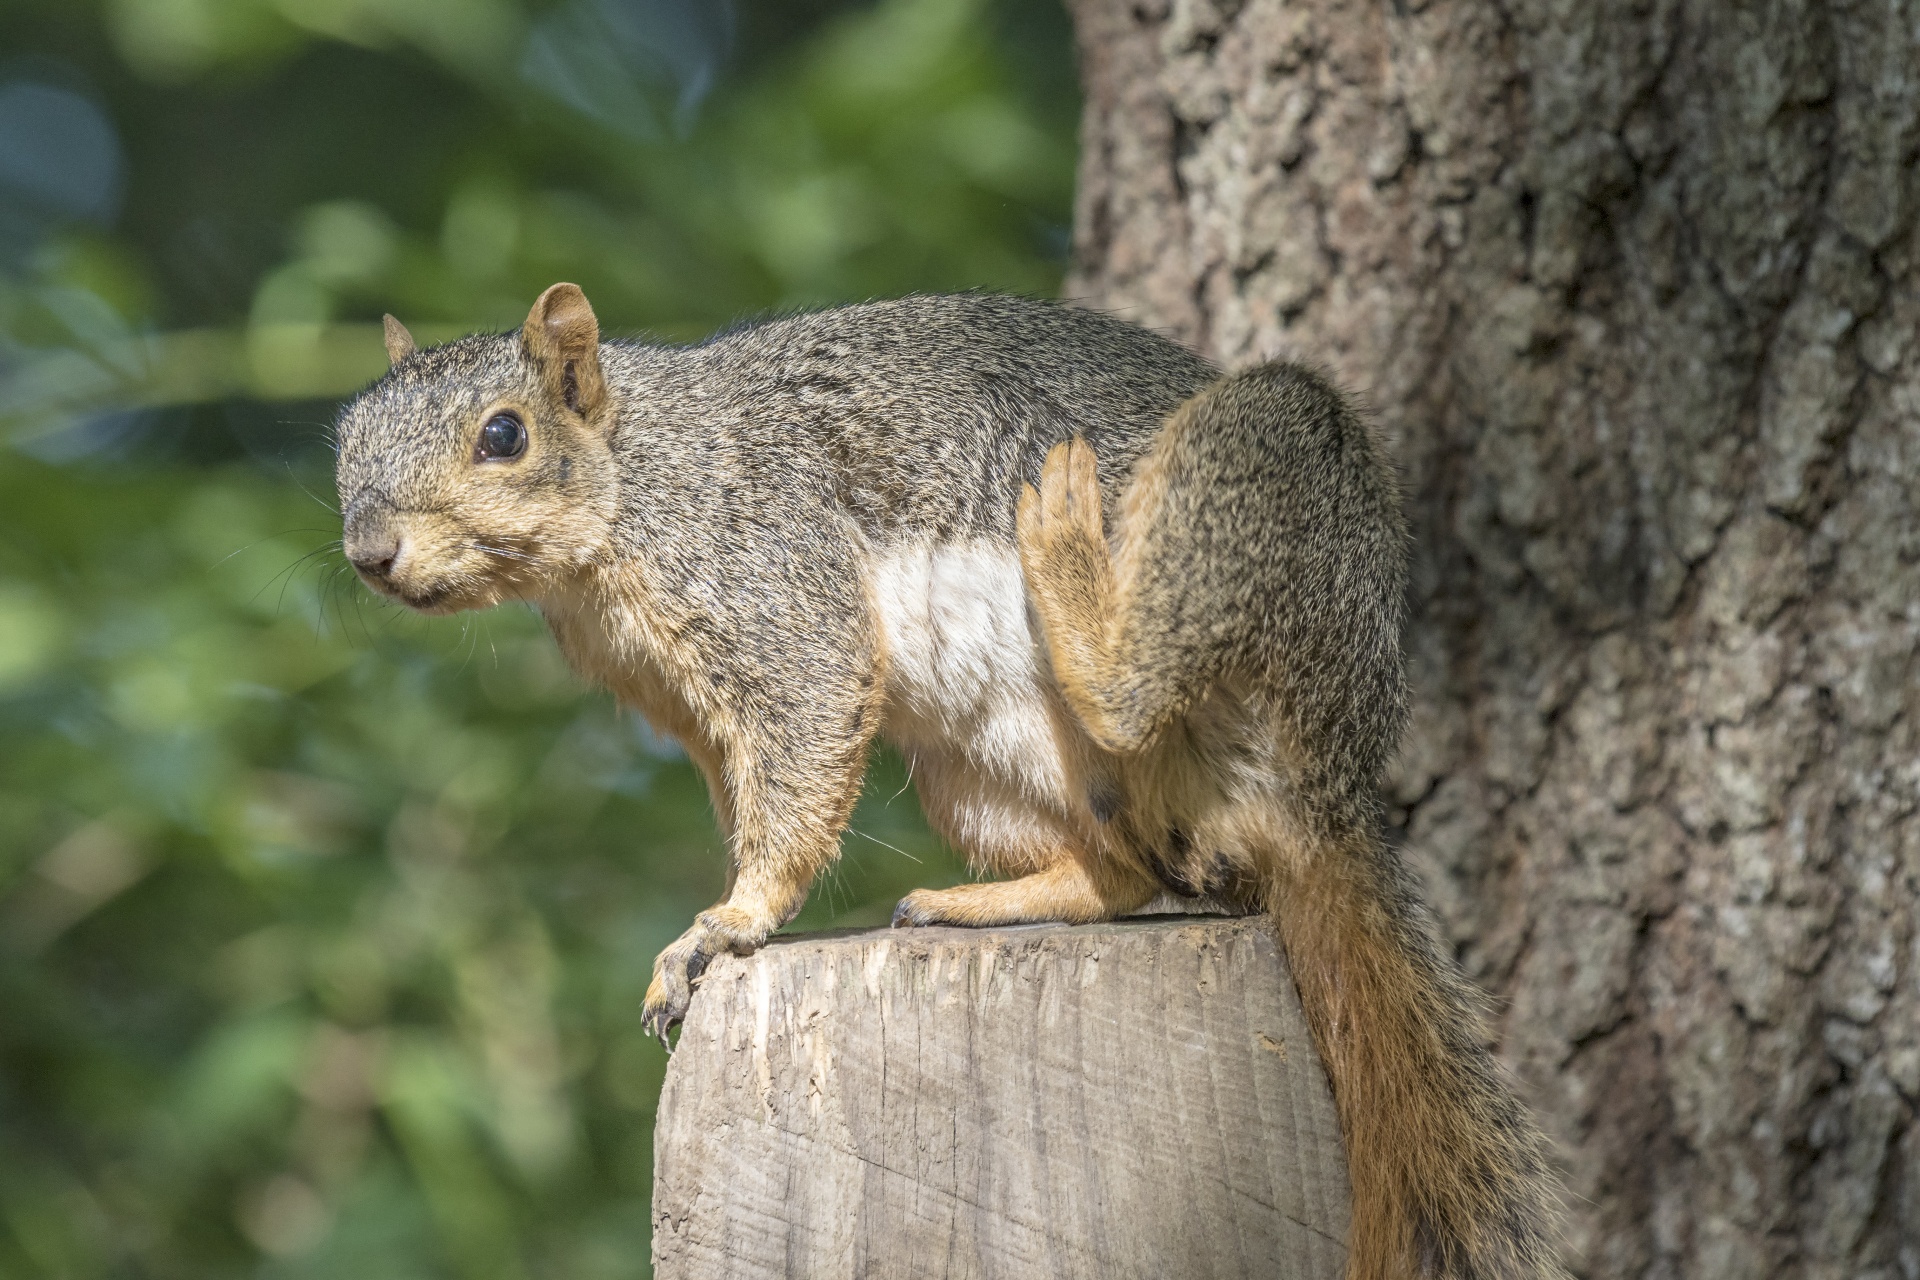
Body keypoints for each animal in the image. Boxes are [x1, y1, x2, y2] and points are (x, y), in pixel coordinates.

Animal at [334, 285, 1559, 1274]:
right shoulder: (692, 705)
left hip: (1270, 486)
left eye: (504, 434)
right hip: (979, 773)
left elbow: (802, 752)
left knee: (1143, 691)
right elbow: (764, 791)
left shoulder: (777, 586)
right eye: (342, 440)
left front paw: (730, 923)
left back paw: (1066, 547)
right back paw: (984, 900)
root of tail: (1330, 787)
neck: (633, 485)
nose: (367, 556)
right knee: (1129, 873)